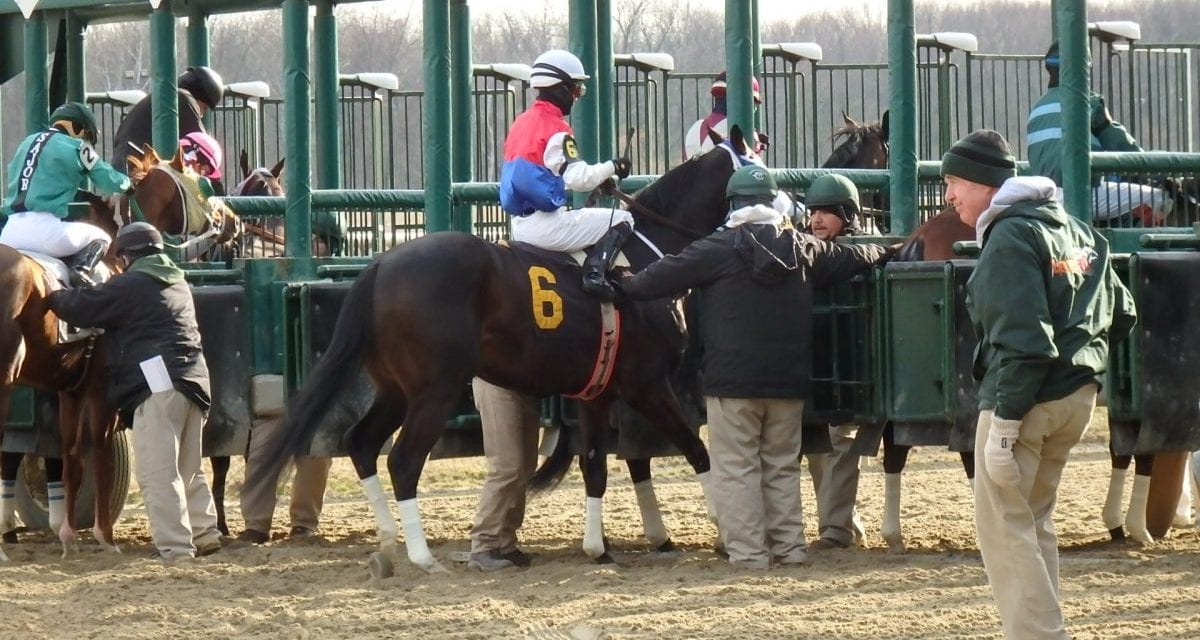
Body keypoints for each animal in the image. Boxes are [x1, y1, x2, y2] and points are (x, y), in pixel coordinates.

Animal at [246, 126, 758, 573]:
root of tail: (381, 264)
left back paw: (390, 540)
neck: (646, 258)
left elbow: (594, 465)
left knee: (362, 442)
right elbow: (696, 450)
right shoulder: (647, 386)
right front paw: (721, 528)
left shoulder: (597, 393)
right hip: (435, 390)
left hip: (394, 388)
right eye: (756, 162)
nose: (776, 209)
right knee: (404, 460)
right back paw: (422, 556)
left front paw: (598, 549)